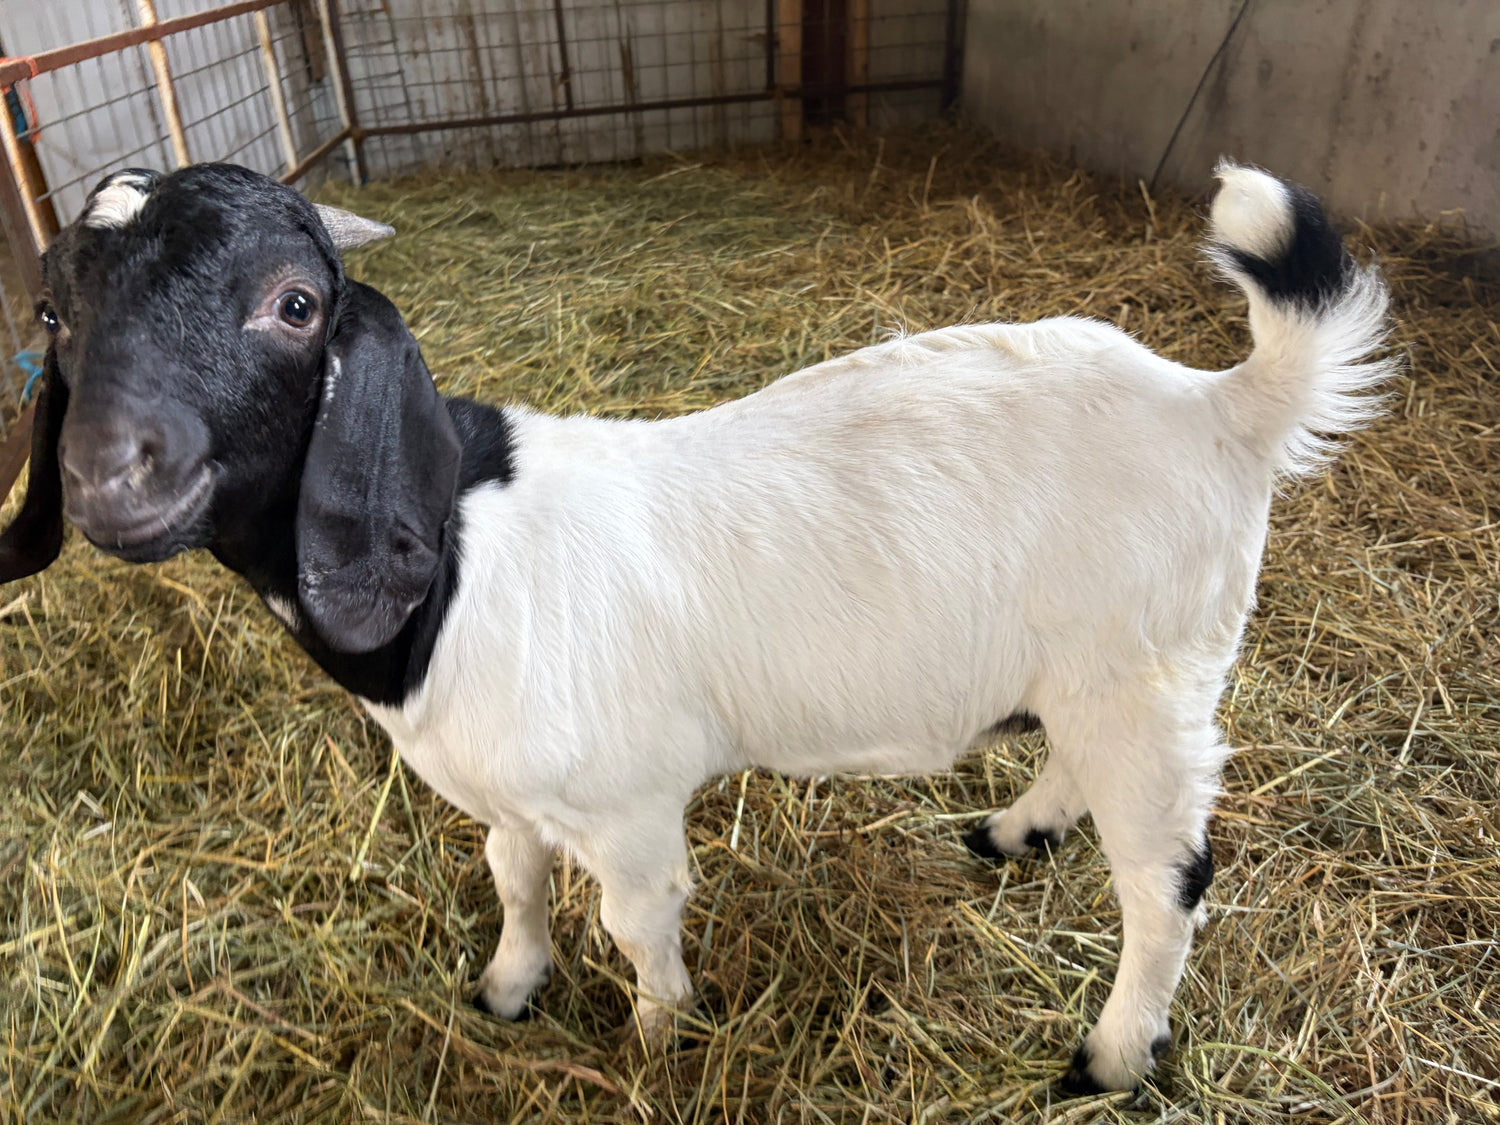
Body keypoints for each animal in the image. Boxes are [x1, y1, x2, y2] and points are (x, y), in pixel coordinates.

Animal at [0, 161, 1392, 1093]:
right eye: (55, 316)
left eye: (295, 304)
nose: (107, 476)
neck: (462, 558)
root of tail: (1218, 404)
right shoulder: (510, 797)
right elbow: (512, 880)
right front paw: (509, 989)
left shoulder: (626, 809)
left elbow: (637, 924)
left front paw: (658, 1041)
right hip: (1096, 676)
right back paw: (1015, 829)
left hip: (1151, 678)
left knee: (1166, 884)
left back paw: (1109, 1054)